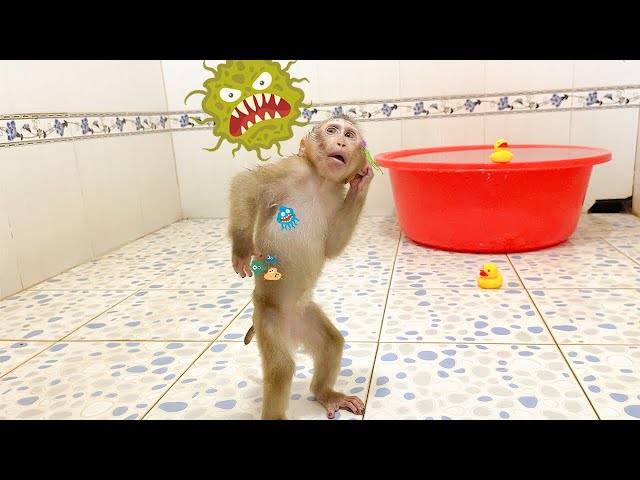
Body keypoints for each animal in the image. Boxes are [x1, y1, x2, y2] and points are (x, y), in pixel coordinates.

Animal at [228, 114, 374, 420]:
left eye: (350, 135)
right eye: (332, 130)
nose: (341, 142)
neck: (320, 181)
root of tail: (291, 329)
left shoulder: (337, 194)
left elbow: (331, 246)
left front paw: (362, 183)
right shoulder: (292, 169)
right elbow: (247, 183)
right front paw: (242, 244)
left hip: (305, 317)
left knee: (331, 344)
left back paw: (325, 393)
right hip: (269, 321)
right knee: (281, 368)